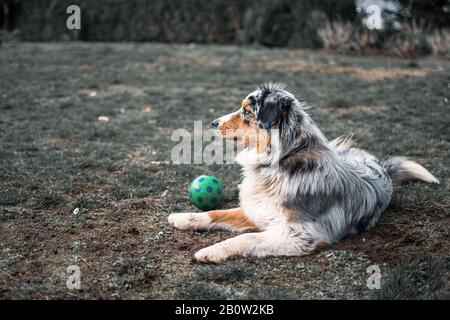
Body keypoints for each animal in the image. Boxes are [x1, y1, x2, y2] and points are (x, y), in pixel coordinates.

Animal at [167, 84, 438, 264]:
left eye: (247, 112)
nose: (213, 122)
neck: (279, 162)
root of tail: (378, 163)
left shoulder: (302, 235)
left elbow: (248, 239)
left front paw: (211, 251)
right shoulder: (258, 210)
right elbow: (216, 212)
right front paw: (182, 217)